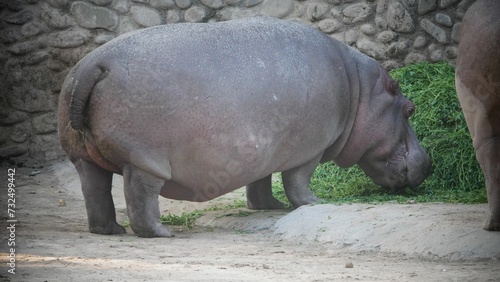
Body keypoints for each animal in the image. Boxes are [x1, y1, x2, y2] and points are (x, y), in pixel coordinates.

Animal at [58, 17, 432, 237]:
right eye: (410, 109)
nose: (428, 162)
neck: (358, 90)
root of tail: (94, 64)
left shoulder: (261, 150)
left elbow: (260, 182)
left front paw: (270, 207)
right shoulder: (311, 148)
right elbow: (298, 181)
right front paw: (314, 202)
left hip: (83, 156)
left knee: (95, 190)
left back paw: (110, 230)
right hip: (145, 160)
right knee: (140, 194)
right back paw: (161, 233)